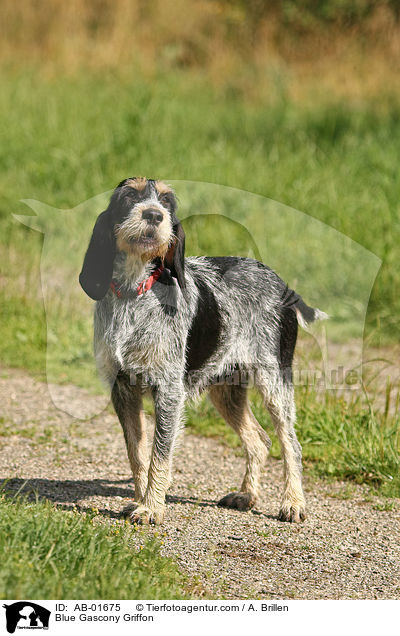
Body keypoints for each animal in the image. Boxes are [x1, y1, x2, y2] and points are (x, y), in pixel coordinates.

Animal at [79, 176, 326, 524]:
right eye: (129, 197)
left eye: (167, 202)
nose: (154, 215)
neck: (134, 292)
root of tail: (284, 285)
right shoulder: (123, 388)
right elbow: (136, 453)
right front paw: (140, 500)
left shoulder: (168, 391)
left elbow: (159, 455)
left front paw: (151, 508)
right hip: (226, 389)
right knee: (259, 441)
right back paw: (247, 495)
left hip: (274, 383)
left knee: (290, 443)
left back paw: (293, 503)